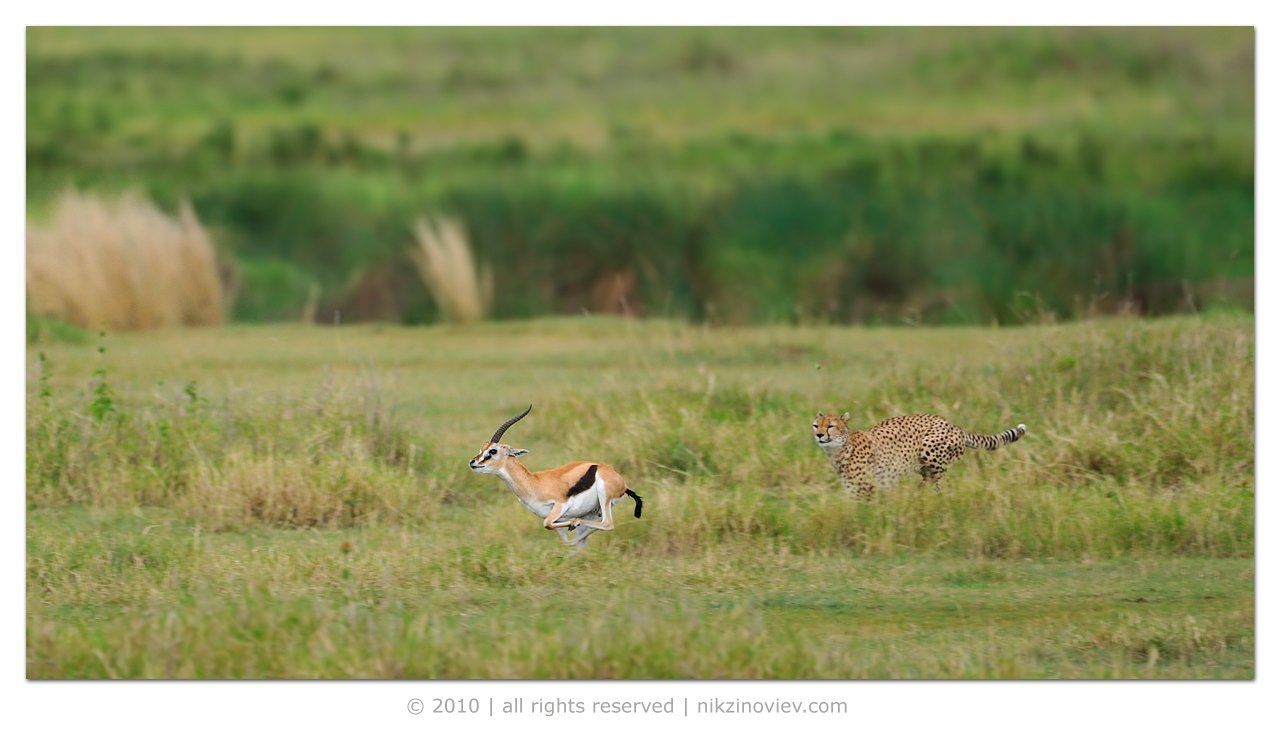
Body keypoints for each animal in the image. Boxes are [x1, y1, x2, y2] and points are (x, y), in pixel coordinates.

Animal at [814, 412, 1024, 496]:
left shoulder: (867, 487)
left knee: (942, 485)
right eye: (816, 425)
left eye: (831, 426)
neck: (840, 450)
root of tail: (953, 425)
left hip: (930, 451)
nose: (819, 435)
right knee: (930, 481)